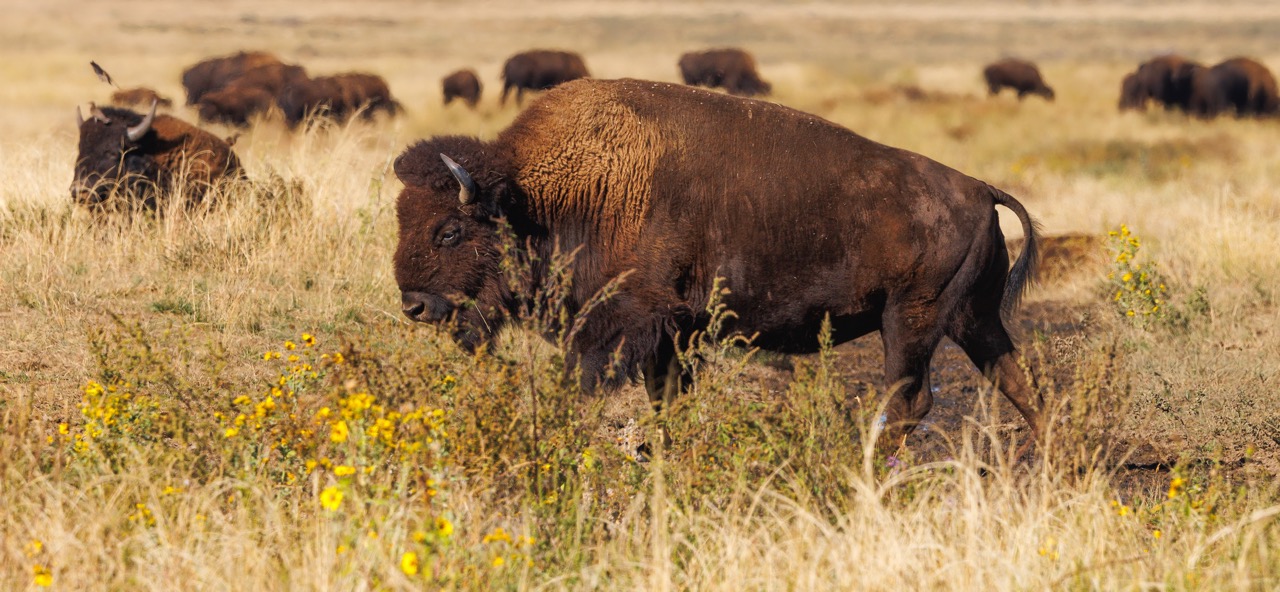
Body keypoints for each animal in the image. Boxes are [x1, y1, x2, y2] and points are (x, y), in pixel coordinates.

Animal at [392, 78, 1044, 455]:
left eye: (449, 231)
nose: (415, 305)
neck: (543, 197)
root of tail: (980, 189)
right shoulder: (671, 338)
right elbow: (667, 400)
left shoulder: (622, 327)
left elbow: (587, 386)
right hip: (970, 319)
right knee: (1017, 380)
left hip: (910, 321)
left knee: (911, 401)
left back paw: (865, 472)